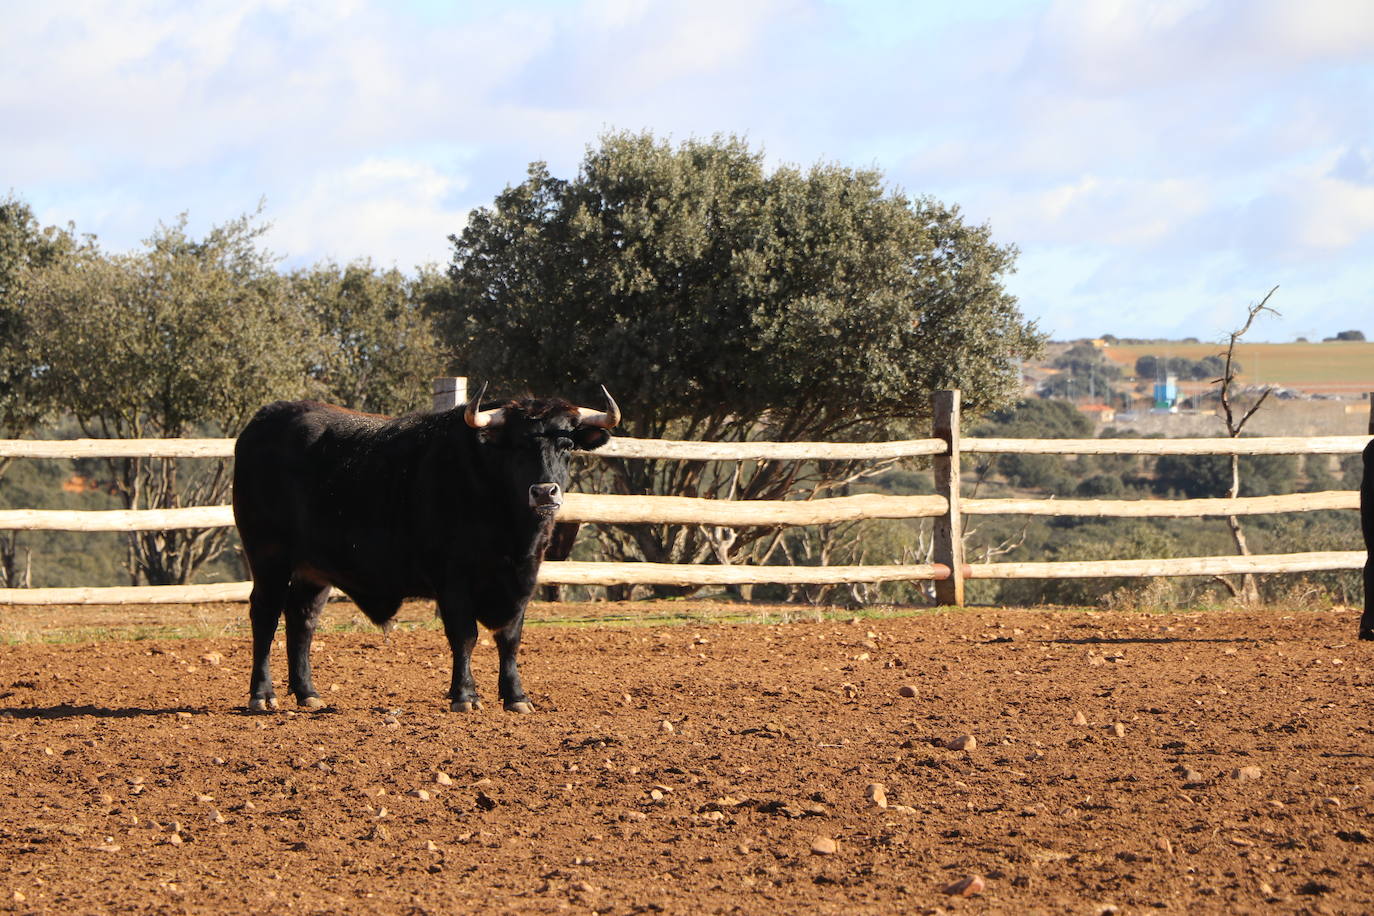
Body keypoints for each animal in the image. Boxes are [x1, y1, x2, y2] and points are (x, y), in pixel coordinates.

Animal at [232, 387, 618, 714]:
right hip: (268, 558)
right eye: (517, 445)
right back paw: (262, 695)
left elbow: (509, 638)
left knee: (302, 620)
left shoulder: (524, 579)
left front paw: (516, 697)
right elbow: (465, 636)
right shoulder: (453, 581)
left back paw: (307, 693)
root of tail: (265, 419)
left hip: (313, 571)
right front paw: (464, 696)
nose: (544, 492)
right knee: (265, 617)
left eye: (566, 445)